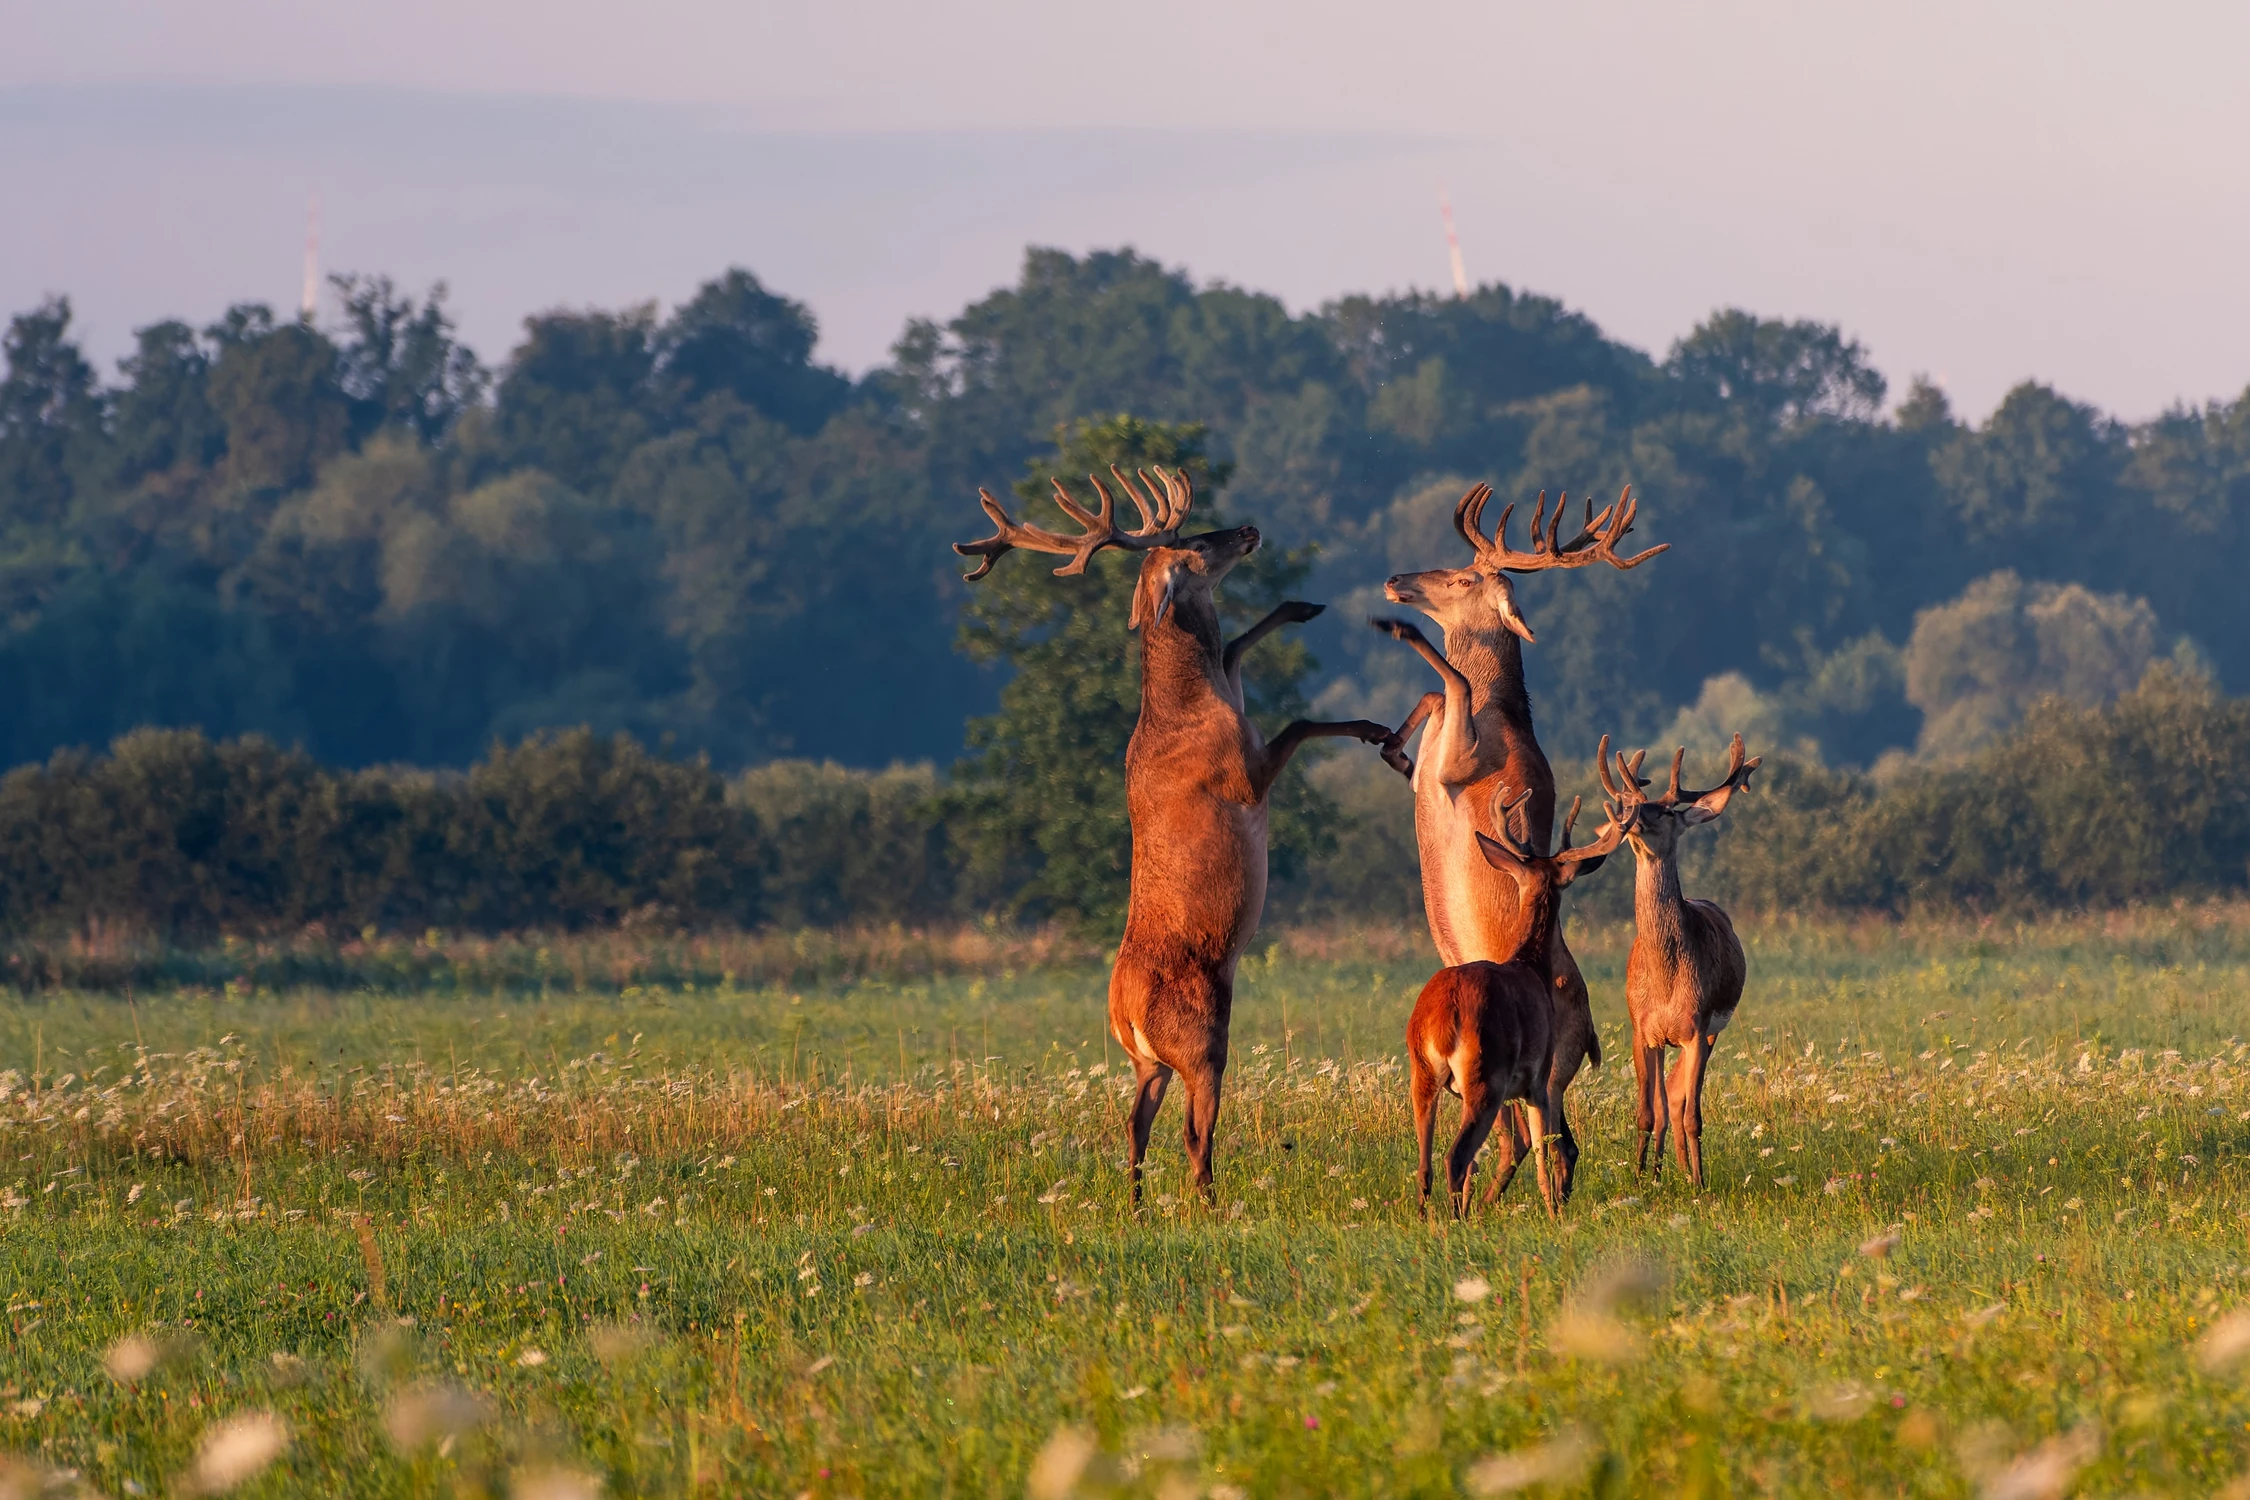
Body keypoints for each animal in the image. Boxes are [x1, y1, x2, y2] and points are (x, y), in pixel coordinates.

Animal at [949, 470, 1386, 1205]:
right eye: (1193, 547)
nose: (1247, 528)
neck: (1190, 703)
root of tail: (1124, 1013)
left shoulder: (1235, 694)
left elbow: (1234, 647)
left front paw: (1301, 606)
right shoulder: (1242, 773)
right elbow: (1297, 721)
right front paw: (1377, 731)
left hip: (1147, 1062)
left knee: (1134, 1124)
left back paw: (1135, 1204)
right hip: (1203, 1035)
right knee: (1193, 1131)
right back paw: (1210, 1204)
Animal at [1404, 787, 1620, 1223]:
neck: (1530, 965)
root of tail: (1442, 1018)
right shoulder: (1538, 1078)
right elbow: (1542, 1148)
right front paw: (1552, 1211)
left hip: (1423, 1073)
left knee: (1425, 1164)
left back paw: (1427, 1218)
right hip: (1486, 1075)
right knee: (1456, 1156)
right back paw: (1458, 1221)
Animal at [1593, 737, 1764, 1187]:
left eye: (1669, 811)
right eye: (1636, 803)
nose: (1631, 818)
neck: (1665, 981)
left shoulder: (1698, 1026)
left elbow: (1692, 1116)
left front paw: (1699, 1183)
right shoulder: (1640, 1028)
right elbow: (1645, 1112)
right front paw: (1639, 1178)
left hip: (1710, 1032)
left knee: (1680, 1100)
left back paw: (1687, 1172)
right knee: (1666, 1100)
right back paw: (1660, 1171)